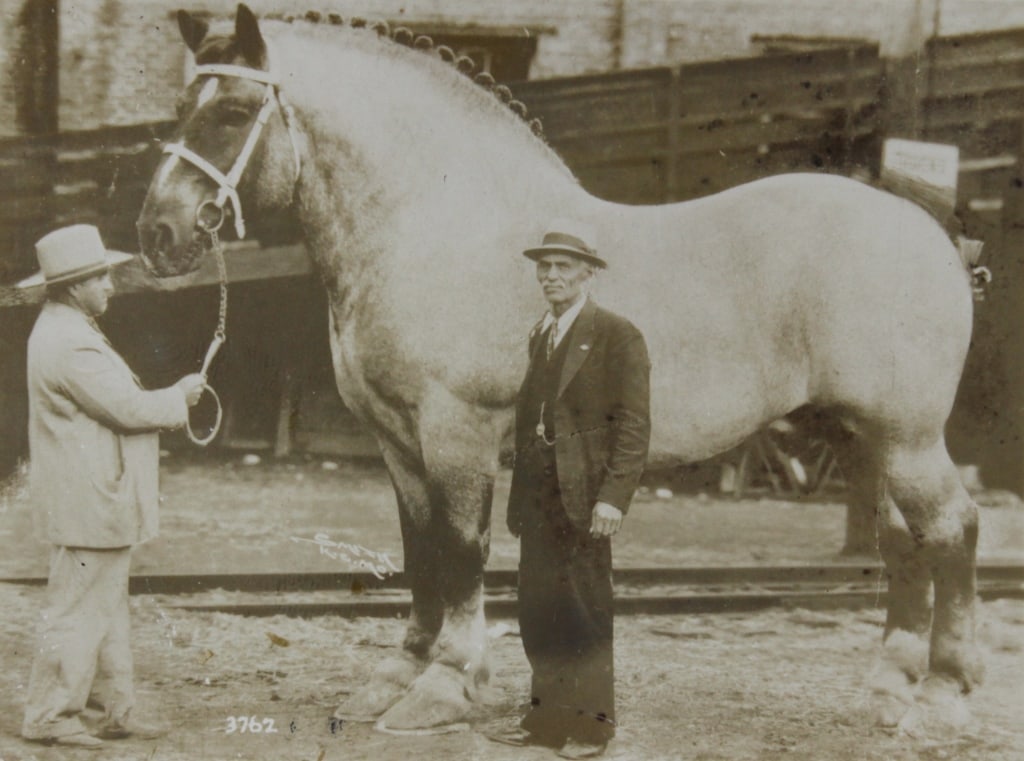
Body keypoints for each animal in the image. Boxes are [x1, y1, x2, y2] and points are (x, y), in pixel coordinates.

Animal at [137, 4, 984, 736]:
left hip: (906, 437)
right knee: (904, 540)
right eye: (180, 104)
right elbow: (418, 548)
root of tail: (932, 233)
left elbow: (462, 548)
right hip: (858, 436)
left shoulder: (456, 429)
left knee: (952, 529)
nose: (158, 232)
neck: (437, 222)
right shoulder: (396, 438)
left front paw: (447, 682)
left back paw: (945, 694)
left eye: (233, 111)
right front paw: (400, 672)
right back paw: (888, 688)